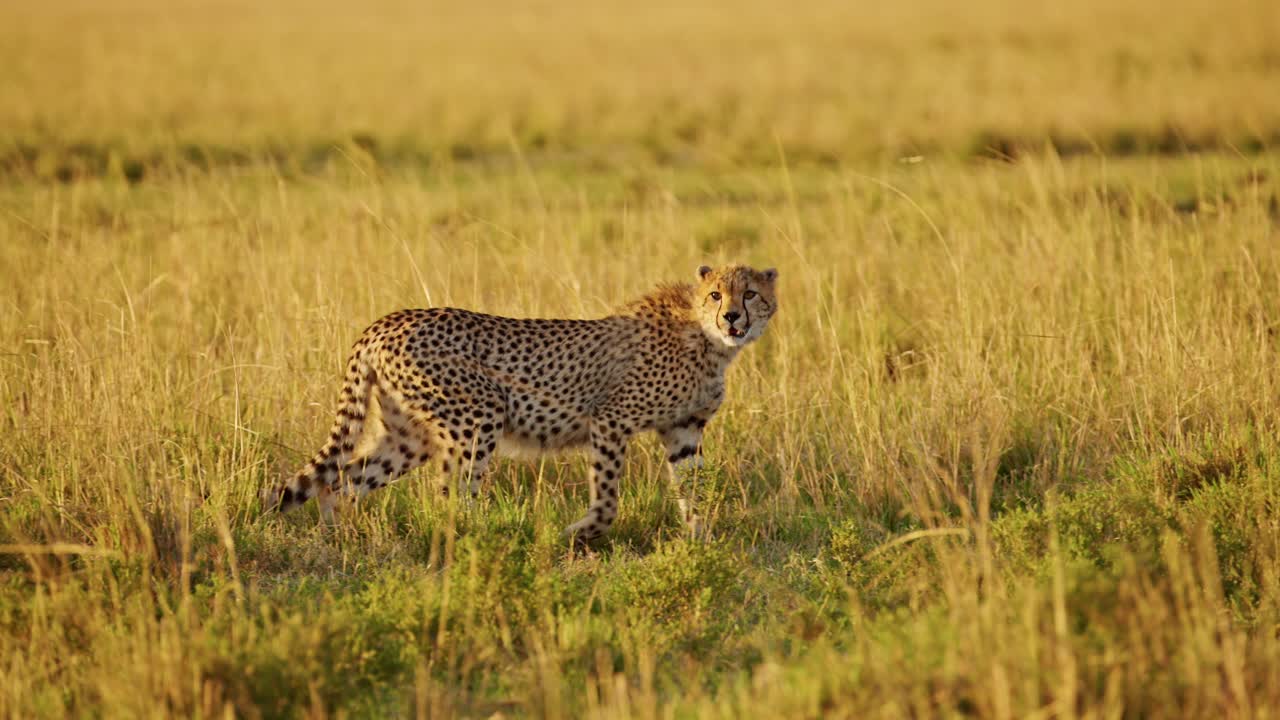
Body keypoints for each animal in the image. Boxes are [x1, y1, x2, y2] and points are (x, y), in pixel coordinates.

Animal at [263, 263, 778, 542]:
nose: (733, 317)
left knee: (341, 484)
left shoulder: (683, 431)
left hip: (408, 437)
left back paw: (342, 537)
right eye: (716, 294)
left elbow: (696, 490)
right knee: (452, 496)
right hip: (477, 415)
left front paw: (700, 539)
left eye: (751, 293)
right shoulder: (609, 421)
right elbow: (608, 499)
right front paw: (580, 533)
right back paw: (484, 541)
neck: (708, 340)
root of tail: (386, 320)